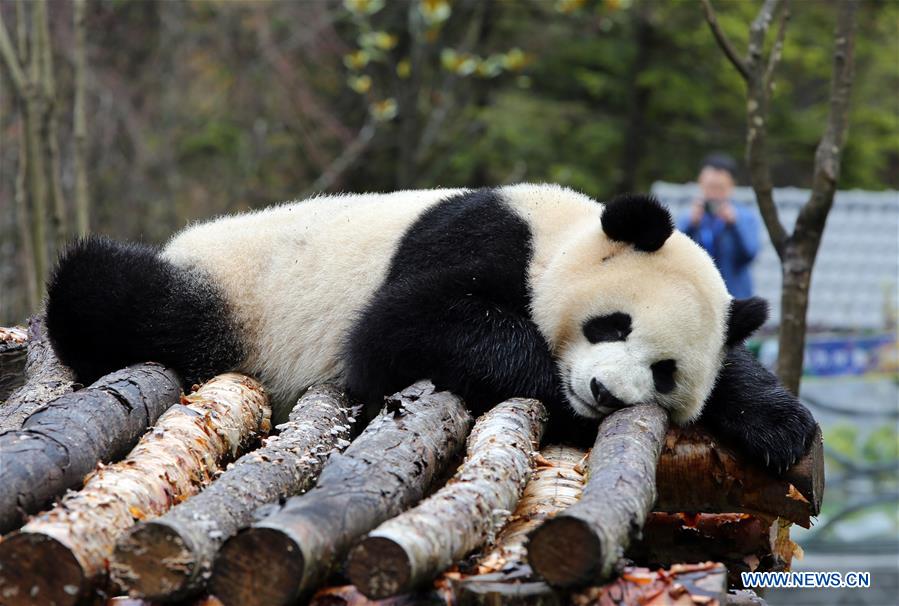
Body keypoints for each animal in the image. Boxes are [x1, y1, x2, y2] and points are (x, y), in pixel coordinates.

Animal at [45, 183, 816, 471]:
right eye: (611, 326)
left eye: (664, 372)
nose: (602, 393)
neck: (559, 234)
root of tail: (187, 243)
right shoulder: (481, 237)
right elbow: (401, 329)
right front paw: (555, 393)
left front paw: (781, 426)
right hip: (228, 292)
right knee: (116, 292)